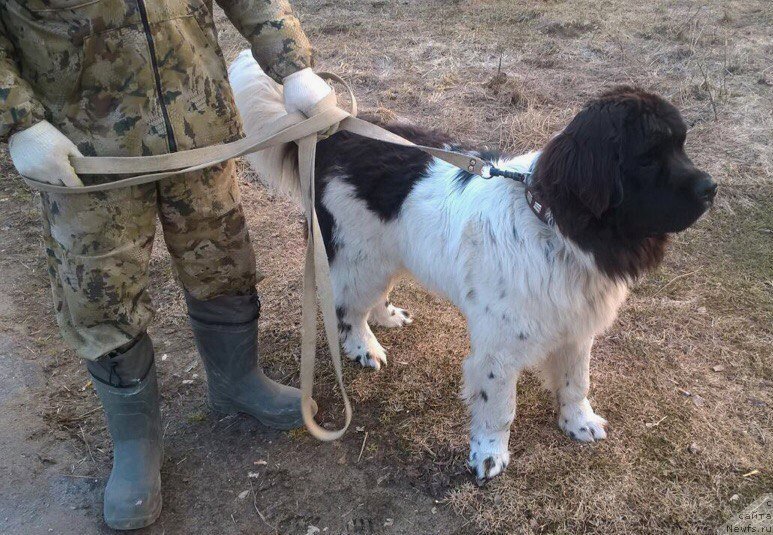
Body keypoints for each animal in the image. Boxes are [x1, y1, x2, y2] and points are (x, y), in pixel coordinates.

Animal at [228, 52, 712, 484]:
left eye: (682, 145)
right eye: (647, 157)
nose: (712, 188)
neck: (554, 227)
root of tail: (334, 134)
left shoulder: (575, 327)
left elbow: (576, 381)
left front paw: (578, 421)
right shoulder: (498, 348)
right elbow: (499, 408)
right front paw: (489, 456)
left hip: (387, 253)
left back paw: (388, 315)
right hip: (358, 257)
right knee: (347, 309)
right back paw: (364, 346)